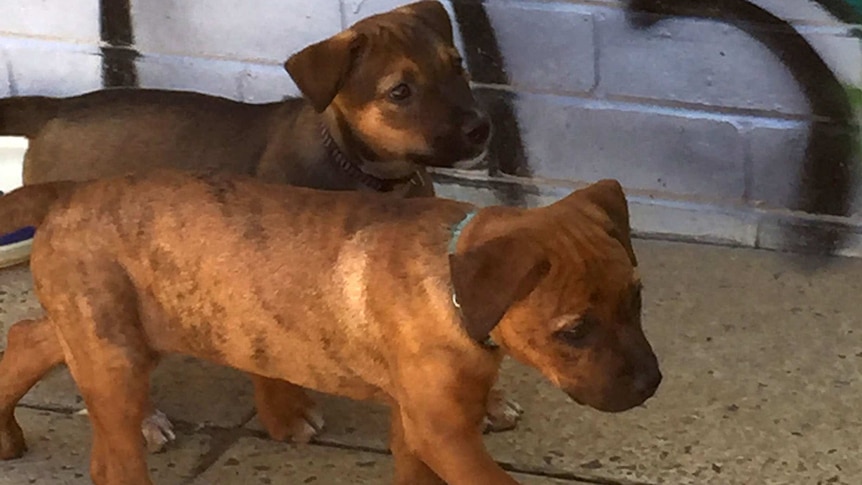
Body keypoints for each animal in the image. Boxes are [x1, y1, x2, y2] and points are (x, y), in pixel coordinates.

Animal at [0, 0, 520, 450]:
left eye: (457, 66)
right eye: (400, 92)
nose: (480, 128)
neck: (365, 172)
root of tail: (57, 109)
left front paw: (488, 403)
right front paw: (285, 414)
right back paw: (142, 418)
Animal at [0, 171, 660, 484]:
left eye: (637, 298)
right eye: (574, 331)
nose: (651, 385)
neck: (451, 290)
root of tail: (68, 193)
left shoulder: (418, 424)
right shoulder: (445, 432)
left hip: (124, 334)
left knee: (27, 339)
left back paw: (5, 432)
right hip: (115, 350)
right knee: (110, 464)